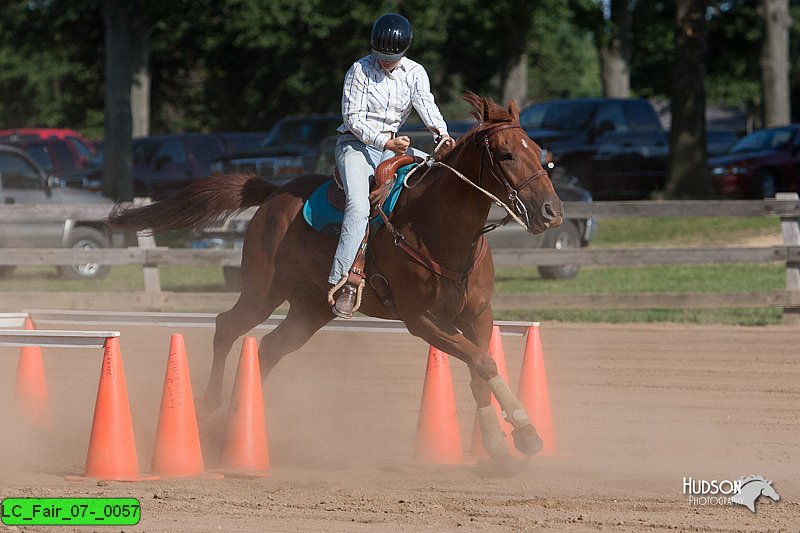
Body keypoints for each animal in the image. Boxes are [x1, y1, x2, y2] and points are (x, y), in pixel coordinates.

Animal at [108, 94, 564, 462]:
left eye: (539, 151)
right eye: (505, 154)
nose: (552, 212)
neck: (439, 227)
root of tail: (273, 193)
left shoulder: (477, 315)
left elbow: (480, 369)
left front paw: (503, 444)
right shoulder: (422, 321)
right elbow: (482, 361)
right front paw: (523, 429)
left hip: (310, 309)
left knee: (269, 348)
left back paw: (240, 424)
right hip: (263, 290)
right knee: (227, 327)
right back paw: (209, 407)